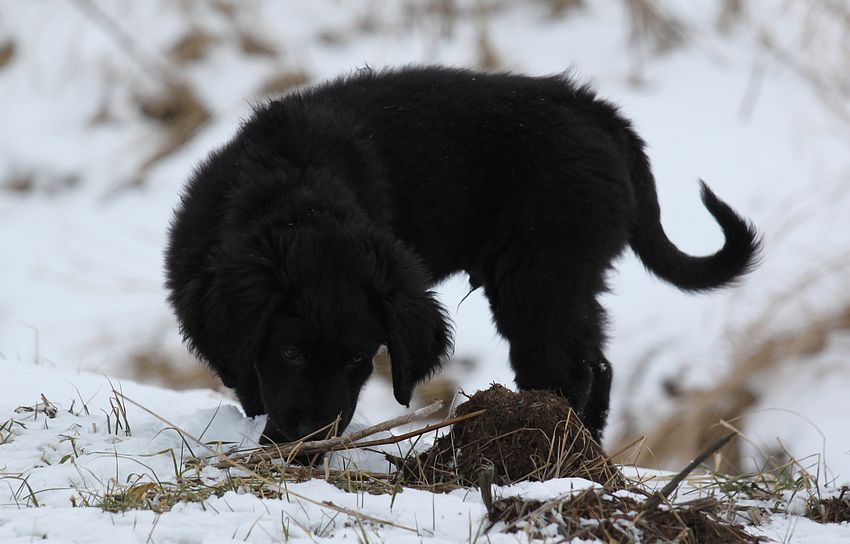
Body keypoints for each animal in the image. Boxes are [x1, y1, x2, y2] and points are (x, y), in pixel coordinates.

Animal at [165, 66, 760, 445]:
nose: (314, 436)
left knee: (567, 370)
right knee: (599, 365)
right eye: (289, 352)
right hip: (568, 279)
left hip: (539, 276)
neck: (294, 193)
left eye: (361, 359)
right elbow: (248, 378)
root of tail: (600, 113)